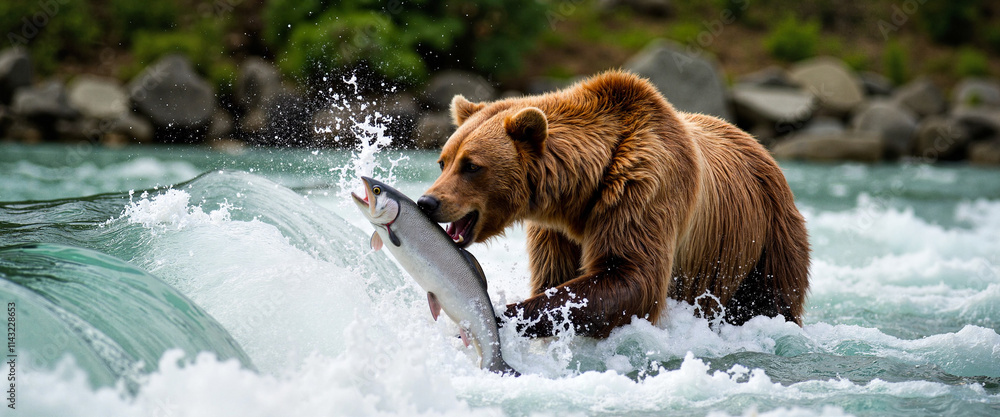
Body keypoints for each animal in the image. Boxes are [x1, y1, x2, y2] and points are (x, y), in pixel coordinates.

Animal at [417, 70, 809, 339]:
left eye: (471, 166)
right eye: (443, 161)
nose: (427, 201)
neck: (580, 193)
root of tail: (759, 145)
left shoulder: (642, 191)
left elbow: (632, 276)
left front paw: (501, 313)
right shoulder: (556, 231)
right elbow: (555, 276)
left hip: (765, 242)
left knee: (773, 299)